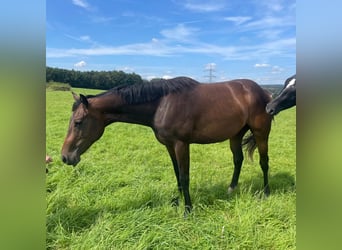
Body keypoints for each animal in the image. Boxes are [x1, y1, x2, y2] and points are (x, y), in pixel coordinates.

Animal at [59, 77, 272, 216]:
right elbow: (177, 174)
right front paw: (177, 201)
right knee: (238, 159)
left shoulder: (181, 145)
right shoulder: (169, 145)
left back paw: (266, 193)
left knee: (264, 162)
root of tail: (264, 92)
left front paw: (188, 210)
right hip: (236, 134)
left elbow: (185, 177)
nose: (65, 157)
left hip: (261, 133)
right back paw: (231, 189)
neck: (162, 103)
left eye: (78, 122)